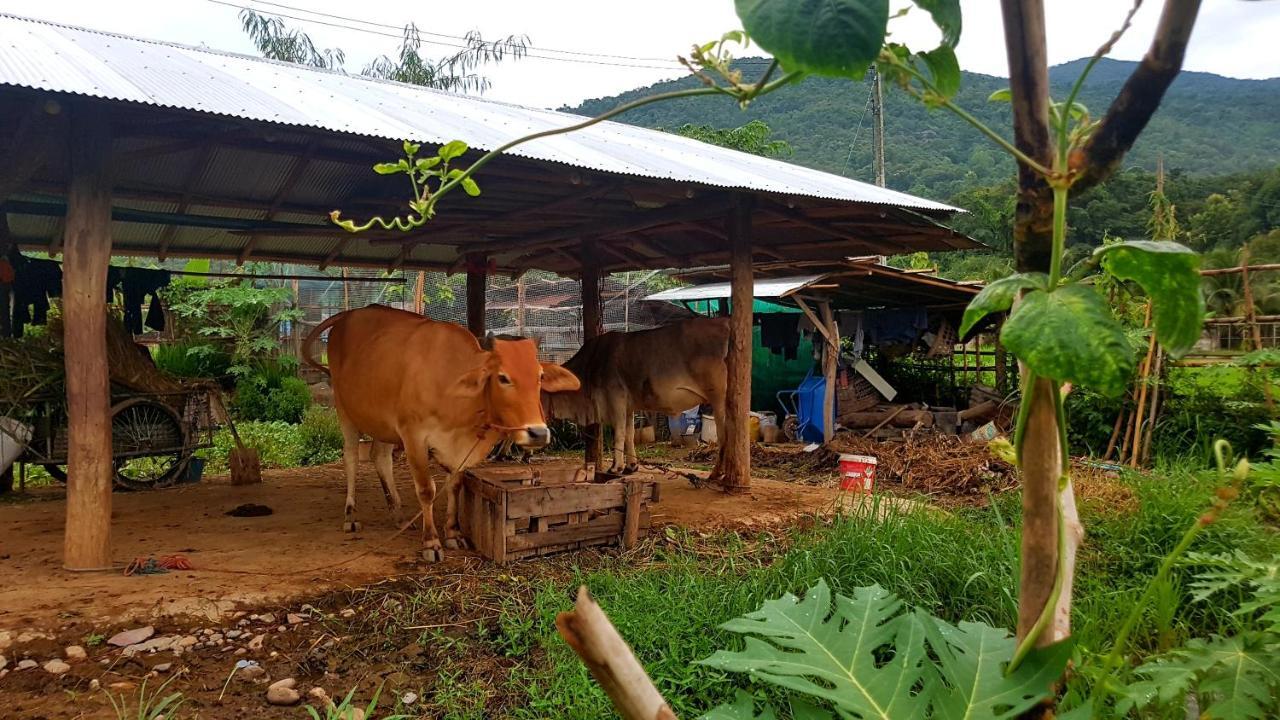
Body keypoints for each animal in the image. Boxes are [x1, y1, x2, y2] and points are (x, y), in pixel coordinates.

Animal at [304, 304, 576, 558]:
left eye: (540, 376)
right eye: (503, 377)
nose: (538, 433)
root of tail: (350, 315)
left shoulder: (454, 449)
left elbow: (454, 485)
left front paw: (453, 533)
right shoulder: (413, 436)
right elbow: (427, 490)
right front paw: (431, 541)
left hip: (383, 422)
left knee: (380, 457)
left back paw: (399, 515)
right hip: (344, 409)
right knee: (350, 457)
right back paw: (351, 515)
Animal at [550, 316, 732, 474]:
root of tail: (725, 322)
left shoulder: (616, 398)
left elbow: (619, 434)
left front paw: (616, 467)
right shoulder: (628, 406)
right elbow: (629, 434)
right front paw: (631, 466)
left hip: (719, 399)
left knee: (725, 436)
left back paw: (717, 473)